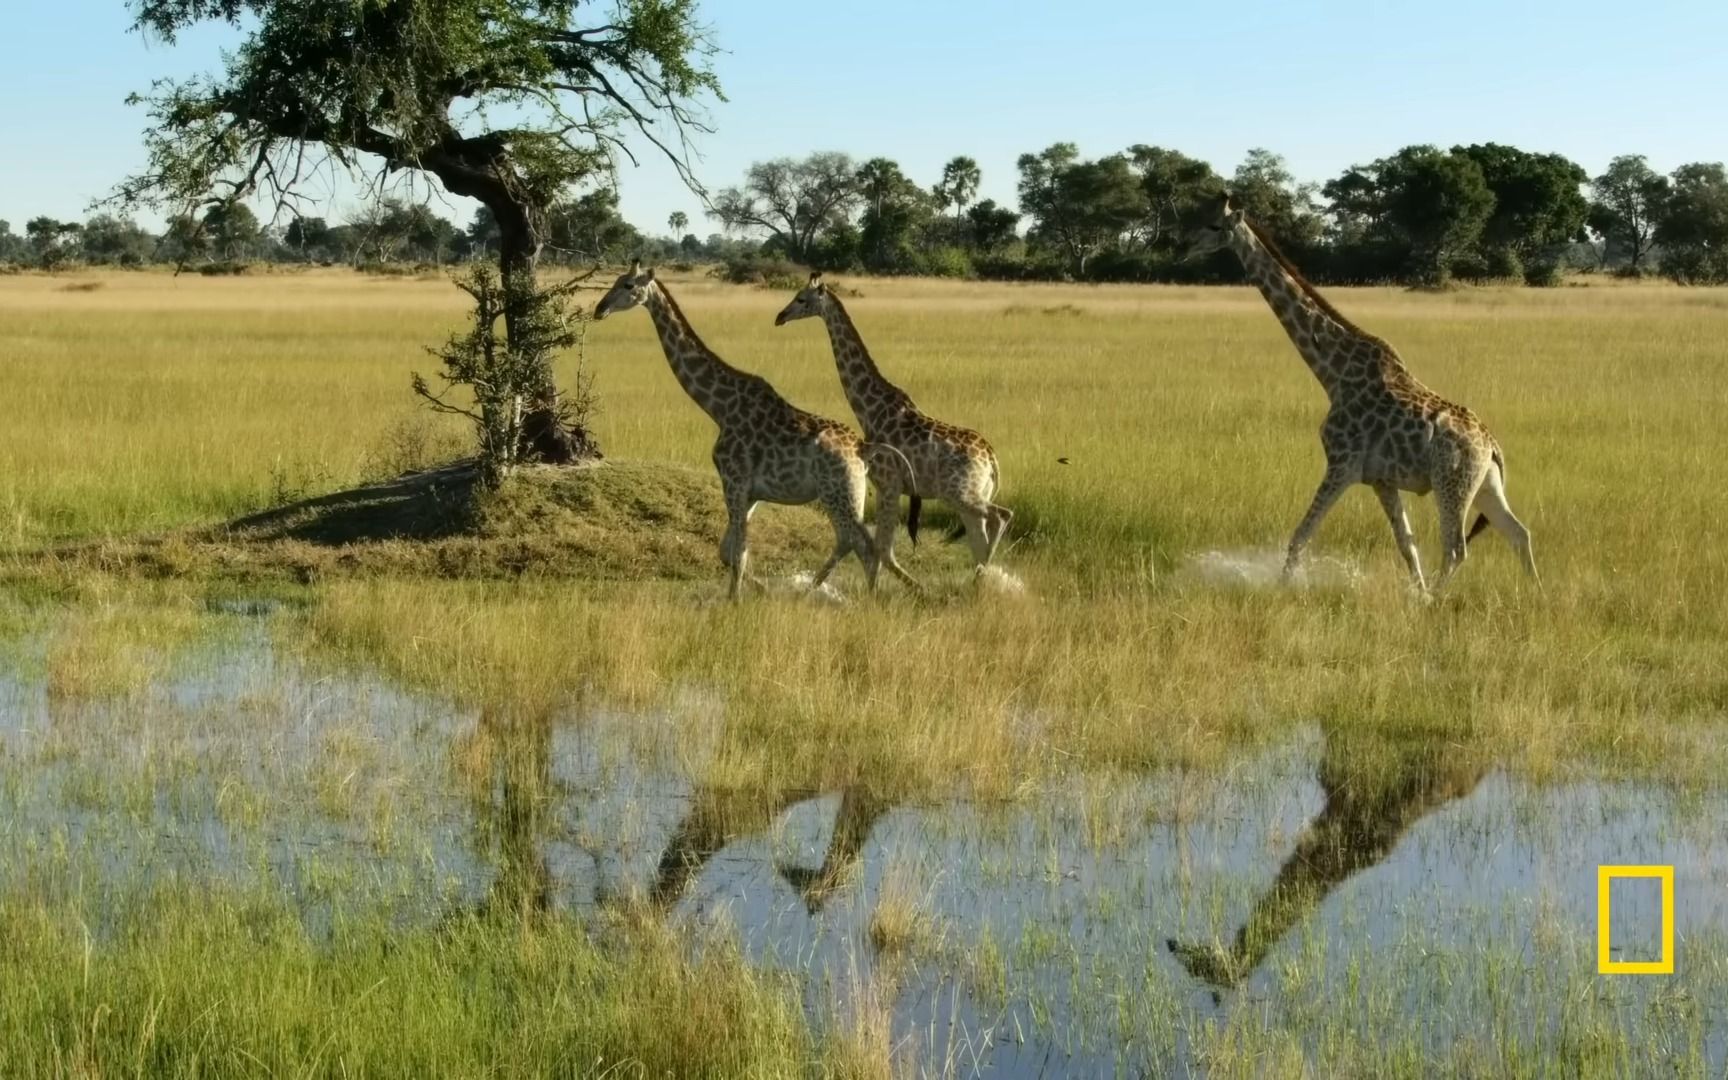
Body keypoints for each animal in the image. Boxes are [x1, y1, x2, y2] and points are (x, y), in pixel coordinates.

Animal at [590, 260, 919, 597]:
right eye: (615, 280)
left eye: (628, 285)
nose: (600, 309)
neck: (719, 408)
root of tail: (863, 448)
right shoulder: (751, 493)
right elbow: (729, 552)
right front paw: (762, 592)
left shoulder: (734, 481)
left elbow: (738, 553)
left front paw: (735, 601)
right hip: (849, 496)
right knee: (861, 545)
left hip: (838, 494)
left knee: (865, 546)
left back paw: (869, 599)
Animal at [774, 269, 1009, 573]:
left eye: (802, 299)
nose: (780, 316)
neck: (870, 410)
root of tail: (991, 457)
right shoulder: (892, 487)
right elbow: (880, 547)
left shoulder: (888, 483)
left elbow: (881, 549)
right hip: (971, 495)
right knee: (980, 540)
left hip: (960, 493)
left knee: (1000, 517)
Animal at [1188, 191, 1541, 590]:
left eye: (1212, 225)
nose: (1186, 245)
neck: (1332, 374)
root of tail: (1492, 444)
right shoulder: (1381, 479)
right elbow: (1407, 545)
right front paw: (1416, 593)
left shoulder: (1342, 463)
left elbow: (1301, 535)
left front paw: (1281, 587)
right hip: (1485, 485)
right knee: (1518, 533)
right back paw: (1534, 592)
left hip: (1452, 483)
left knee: (1456, 548)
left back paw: (1441, 596)